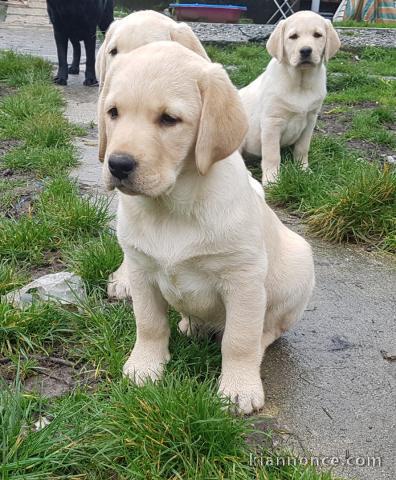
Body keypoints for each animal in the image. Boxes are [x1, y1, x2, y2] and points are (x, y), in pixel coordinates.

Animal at [99, 43, 316, 414]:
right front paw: (144, 367)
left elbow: (239, 340)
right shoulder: (140, 270)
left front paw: (239, 388)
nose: (118, 164)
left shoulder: (243, 279)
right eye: (113, 112)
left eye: (169, 119)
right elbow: (149, 324)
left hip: (300, 269)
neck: (171, 206)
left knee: (267, 329)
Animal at [240, 11, 342, 184]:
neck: (300, 82)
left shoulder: (310, 120)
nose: (306, 50)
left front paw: (304, 170)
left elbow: (302, 148)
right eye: (293, 36)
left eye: (317, 35)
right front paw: (272, 180)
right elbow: (272, 155)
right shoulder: (272, 122)